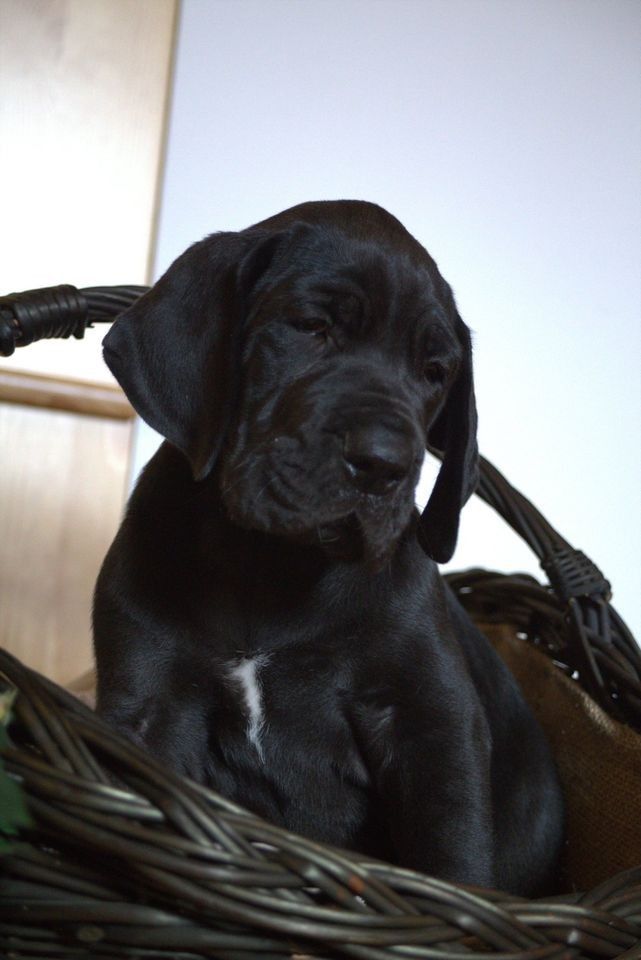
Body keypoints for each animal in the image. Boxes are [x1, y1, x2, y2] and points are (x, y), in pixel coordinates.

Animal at [94, 200, 564, 894]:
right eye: (313, 327)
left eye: (434, 373)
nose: (385, 464)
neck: (271, 562)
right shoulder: (147, 709)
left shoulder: (433, 726)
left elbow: (453, 857)